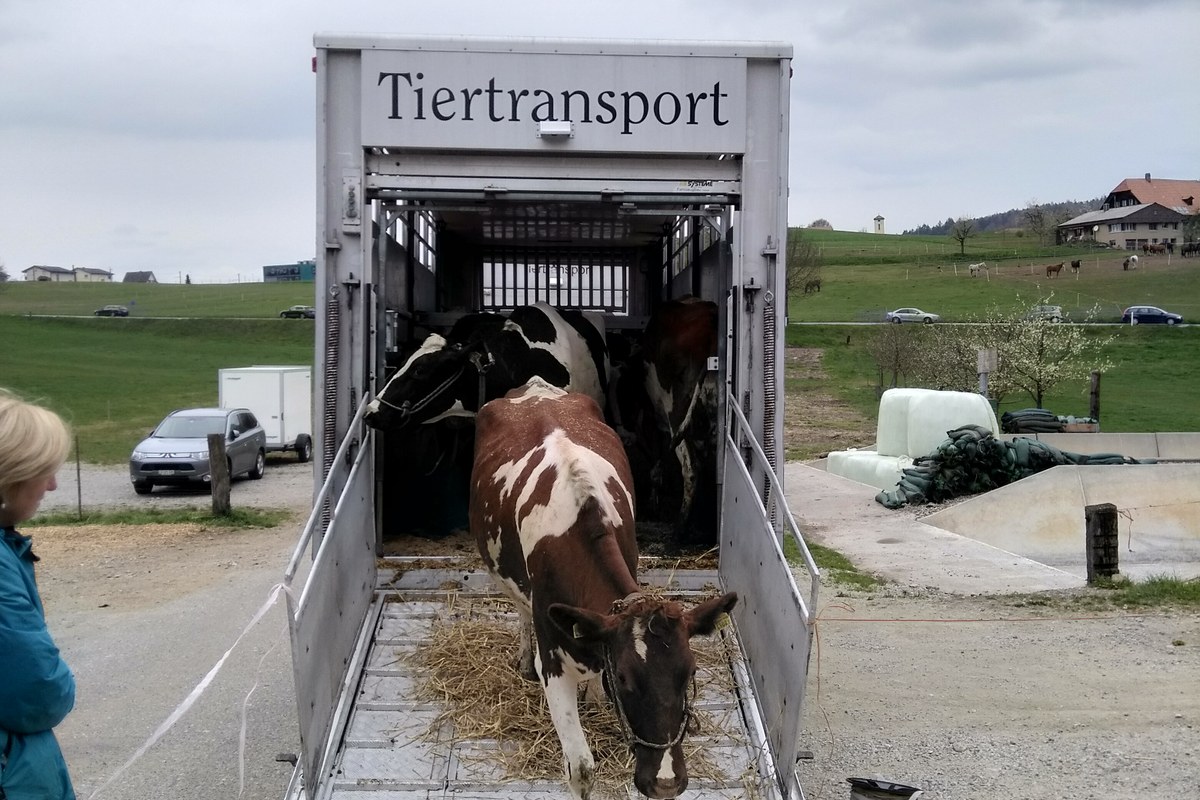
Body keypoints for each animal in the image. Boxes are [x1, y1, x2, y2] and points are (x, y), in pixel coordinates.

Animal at [465, 381, 729, 800]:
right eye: (623, 677)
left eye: (690, 672)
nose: (666, 782)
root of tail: (535, 385)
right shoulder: (552, 661)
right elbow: (582, 770)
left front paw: (595, 695)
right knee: (520, 608)